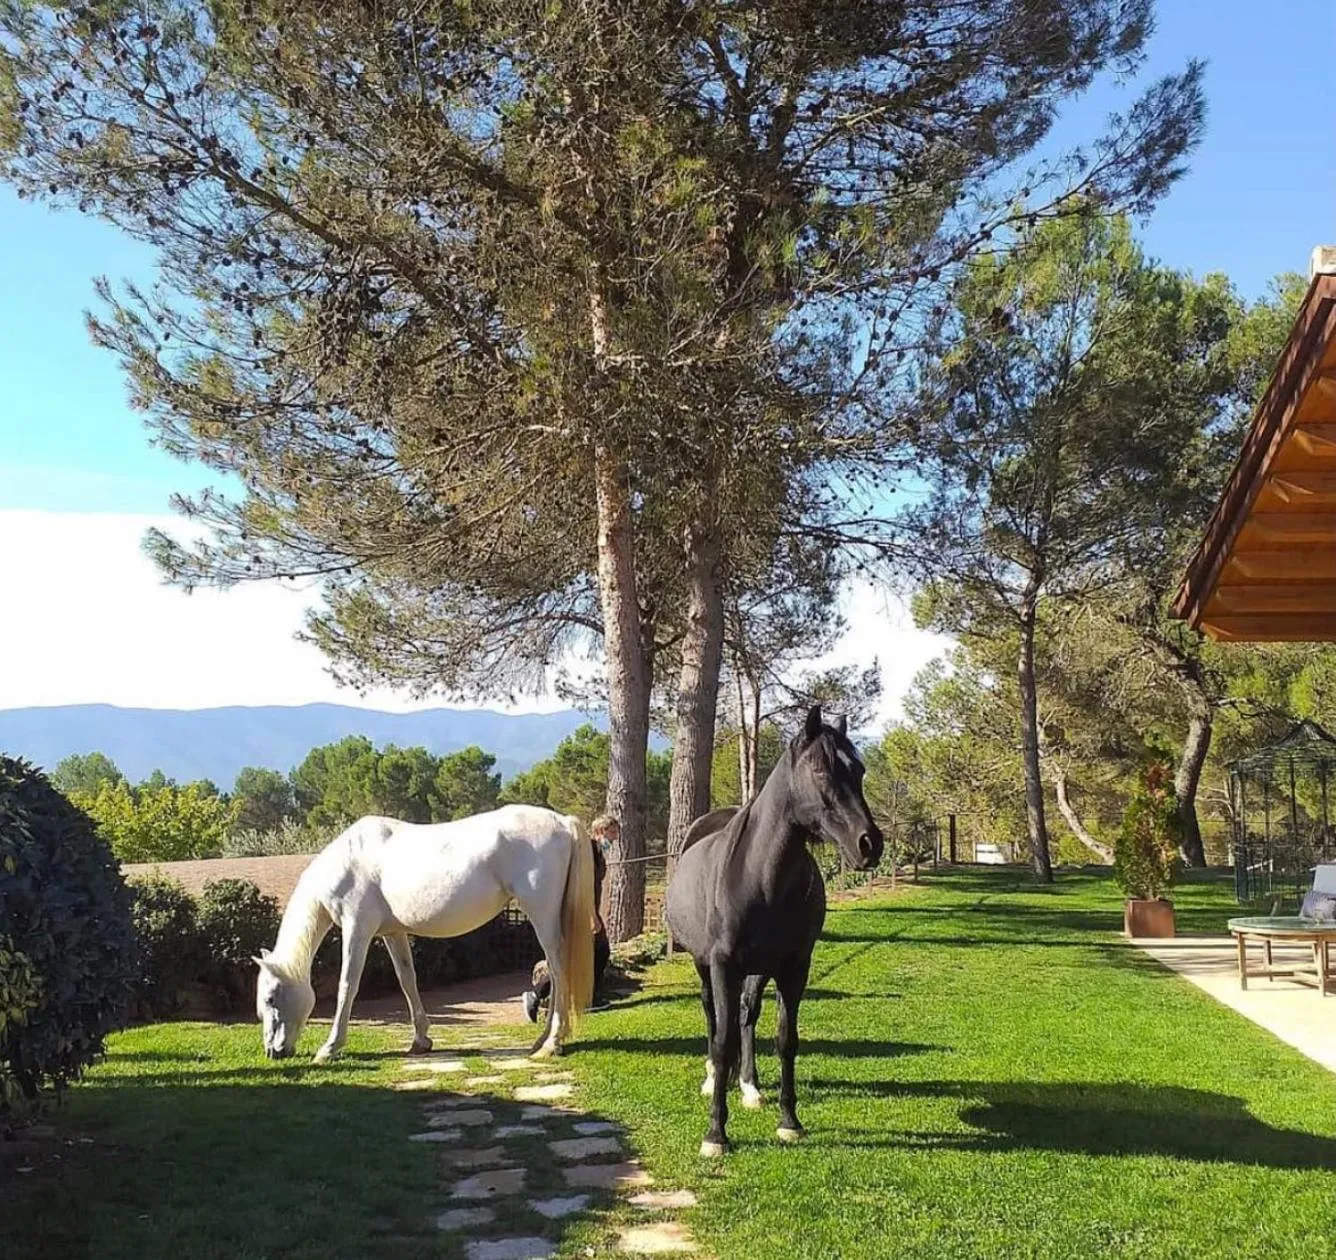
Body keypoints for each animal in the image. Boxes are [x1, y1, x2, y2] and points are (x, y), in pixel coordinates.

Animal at [254, 804, 595, 1062]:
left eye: (271, 997)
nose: (273, 1051)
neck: (347, 862)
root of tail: (562, 822)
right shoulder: (392, 934)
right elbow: (408, 980)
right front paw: (420, 1040)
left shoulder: (357, 929)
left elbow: (347, 986)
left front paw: (329, 1048)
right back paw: (543, 1040)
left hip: (542, 916)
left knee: (558, 970)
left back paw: (551, 1043)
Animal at [665, 706, 883, 1157]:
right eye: (819, 769)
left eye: (859, 770)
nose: (870, 844)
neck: (759, 874)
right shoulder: (722, 964)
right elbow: (722, 1040)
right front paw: (716, 1134)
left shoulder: (794, 967)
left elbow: (786, 1039)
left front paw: (789, 1122)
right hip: (705, 965)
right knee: (714, 1017)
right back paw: (714, 1079)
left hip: (758, 969)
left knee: (746, 1016)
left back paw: (748, 1086)